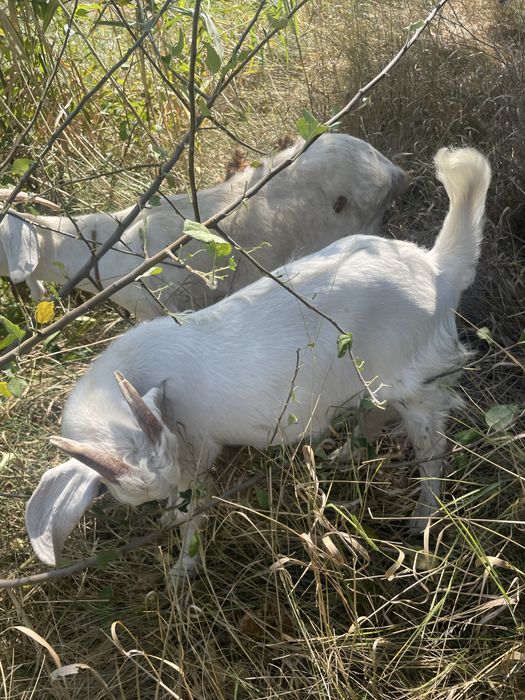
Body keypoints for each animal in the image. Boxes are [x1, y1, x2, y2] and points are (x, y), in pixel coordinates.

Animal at [25, 147, 491, 578]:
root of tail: (437, 270)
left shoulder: (196, 448)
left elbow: (195, 508)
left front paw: (183, 568)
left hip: (418, 379)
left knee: (432, 448)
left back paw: (423, 520)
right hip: (371, 381)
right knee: (374, 414)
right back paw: (344, 456)